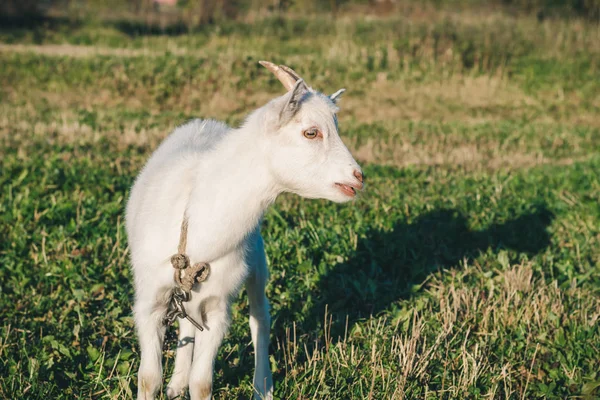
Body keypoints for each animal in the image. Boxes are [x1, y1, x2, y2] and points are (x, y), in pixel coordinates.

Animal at [124, 61, 364, 398]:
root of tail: (204, 122)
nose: (358, 177)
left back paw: (262, 386)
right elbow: (148, 378)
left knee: (259, 317)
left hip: (257, 261)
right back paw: (176, 383)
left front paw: (196, 384)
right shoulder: (150, 301)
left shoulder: (218, 307)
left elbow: (202, 383)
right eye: (311, 132)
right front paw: (170, 383)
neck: (195, 223)